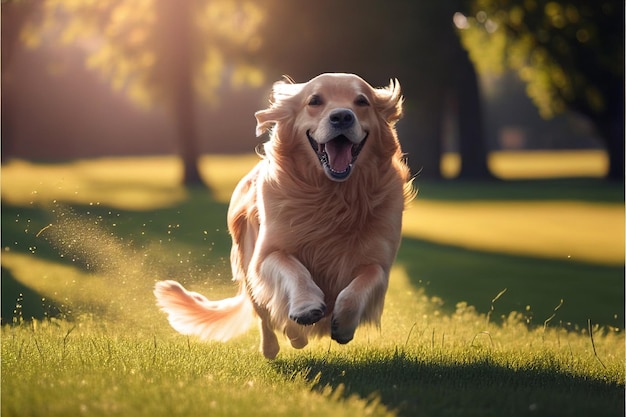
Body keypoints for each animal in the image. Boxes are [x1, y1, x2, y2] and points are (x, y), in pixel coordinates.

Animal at [154, 72, 412, 358]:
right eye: (314, 101)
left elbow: (363, 282)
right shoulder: (266, 253)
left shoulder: (380, 261)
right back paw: (279, 342)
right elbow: (293, 268)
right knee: (266, 316)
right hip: (248, 265)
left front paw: (344, 324)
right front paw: (306, 306)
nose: (342, 116)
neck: (333, 196)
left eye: (362, 101)